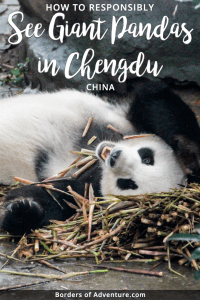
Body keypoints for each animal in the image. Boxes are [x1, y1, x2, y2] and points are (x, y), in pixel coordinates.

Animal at [0, 81, 200, 234]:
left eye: (128, 183)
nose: (115, 157)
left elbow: (60, 198)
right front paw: (189, 152)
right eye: (147, 158)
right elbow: (154, 99)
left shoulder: (87, 188)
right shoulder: (126, 119)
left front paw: (21, 210)